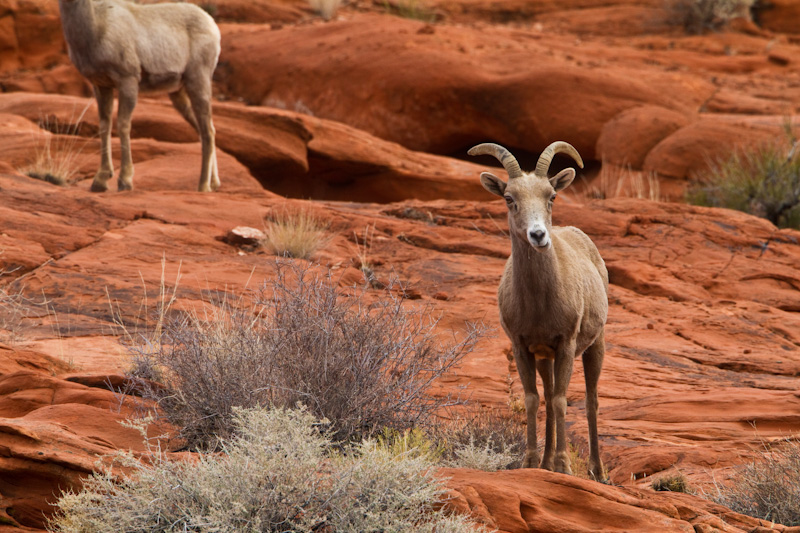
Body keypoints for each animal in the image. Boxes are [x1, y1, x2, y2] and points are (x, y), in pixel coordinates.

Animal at [58, 0, 222, 191]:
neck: (96, 27)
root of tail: (211, 24)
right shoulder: (101, 86)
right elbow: (105, 126)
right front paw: (100, 181)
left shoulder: (127, 81)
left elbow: (123, 125)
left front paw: (125, 181)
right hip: (179, 94)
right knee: (204, 130)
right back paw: (214, 183)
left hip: (198, 81)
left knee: (208, 131)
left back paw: (203, 186)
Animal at [468, 140, 608, 478]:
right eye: (509, 199)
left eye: (551, 196)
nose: (538, 235)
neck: (538, 303)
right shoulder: (522, 347)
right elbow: (534, 400)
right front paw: (531, 462)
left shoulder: (567, 345)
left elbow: (560, 402)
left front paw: (565, 467)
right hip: (546, 358)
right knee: (547, 394)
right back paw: (546, 464)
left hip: (596, 345)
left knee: (591, 401)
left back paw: (597, 472)